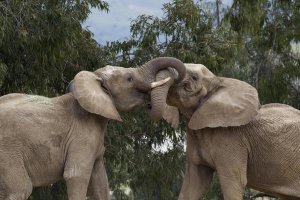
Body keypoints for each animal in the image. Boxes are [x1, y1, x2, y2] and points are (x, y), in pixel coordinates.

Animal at [0, 56, 186, 200]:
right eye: (129, 78)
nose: (149, 104)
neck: (92, 80)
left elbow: (100, 182)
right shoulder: (81, 135)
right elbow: (76, 175)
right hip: (8, 153)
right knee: (21, 189)